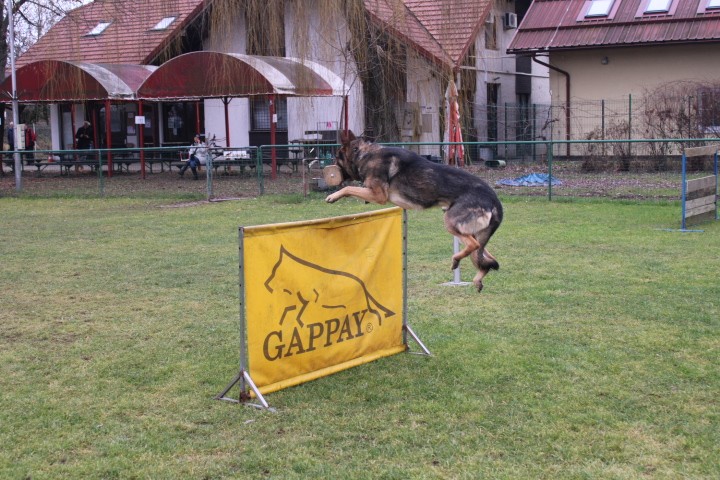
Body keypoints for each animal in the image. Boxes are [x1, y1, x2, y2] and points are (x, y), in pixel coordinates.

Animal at [326, 130, 500, 292]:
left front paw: (332, 196)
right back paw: (477, 279)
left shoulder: (378, 195)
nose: (329, 171)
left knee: (474, 246)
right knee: (488, 259)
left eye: (337, 156)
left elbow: (349, 188)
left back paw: (456, 259)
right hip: (473, 233)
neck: (365, 154)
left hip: (451, 223)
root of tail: (494, 200)